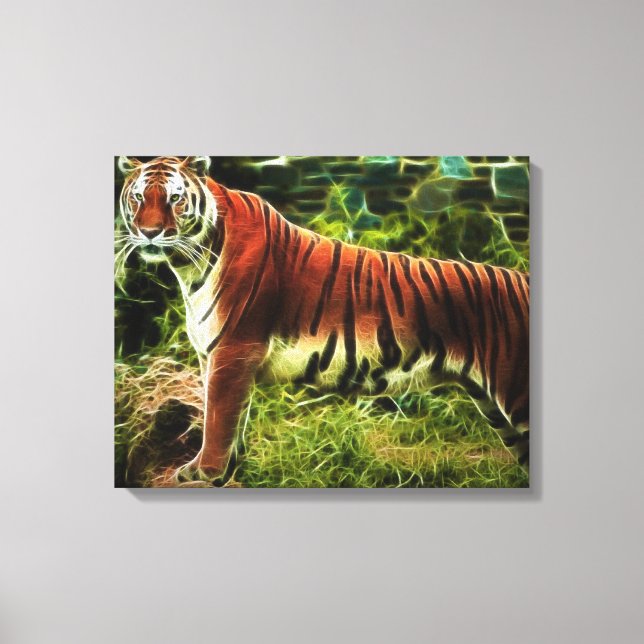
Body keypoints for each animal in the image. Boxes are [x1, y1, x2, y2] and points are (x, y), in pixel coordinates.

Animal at [116, 155, 530, 485]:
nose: (149, 233)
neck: (189, 265)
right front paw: (225, 471)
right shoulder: (215, 357)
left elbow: (218, 418)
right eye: (138, 197)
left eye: (175, 198)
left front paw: (205, 472)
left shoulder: (234, 349)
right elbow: (229, 418)